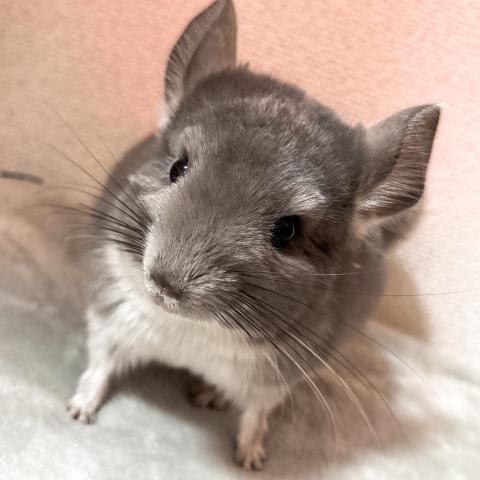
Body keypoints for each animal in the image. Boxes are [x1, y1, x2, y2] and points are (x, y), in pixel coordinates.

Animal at [67, 0, 440, 470]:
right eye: (176, 167)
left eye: (288, 230)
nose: (167, 283)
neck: (188, 328)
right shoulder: (110, 317)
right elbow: (99, 366)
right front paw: (78, 411)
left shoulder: (274, 381)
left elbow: (255, 416)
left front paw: (251, 460)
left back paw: (208, 394)